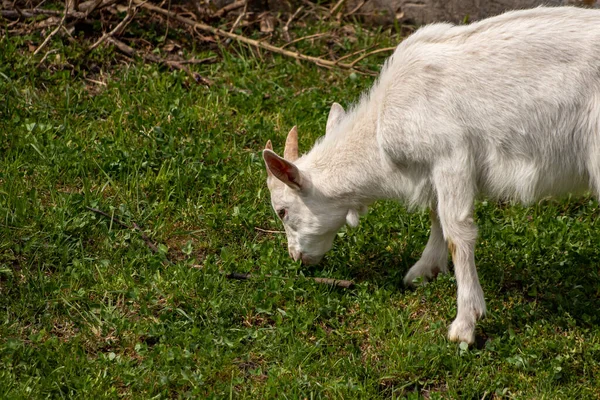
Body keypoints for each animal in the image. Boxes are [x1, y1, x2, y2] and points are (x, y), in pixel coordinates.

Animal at [262, 6, 600, 344]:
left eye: (282, 211)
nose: (297, 258)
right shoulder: (433, 166)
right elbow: (436, 213)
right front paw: (424, 271)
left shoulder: (451, 155)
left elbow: (457, 232)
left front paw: (465, 324)